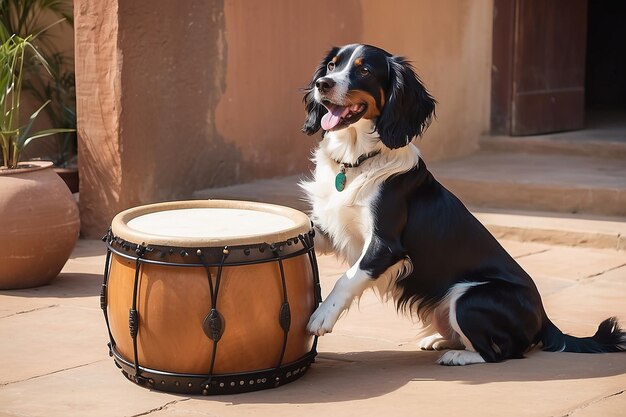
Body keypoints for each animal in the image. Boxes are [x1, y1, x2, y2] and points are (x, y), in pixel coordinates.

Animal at [298, 43, 624, 364]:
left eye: (364, 70)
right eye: (332, 65)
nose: (322, 84)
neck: (356, 161)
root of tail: (545, 319)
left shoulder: (384, 245)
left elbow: (347, 279)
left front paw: (323, 315)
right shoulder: (331, 227)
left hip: (467, 296)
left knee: (504, 353)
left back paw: (457, 355)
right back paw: (440, 340)